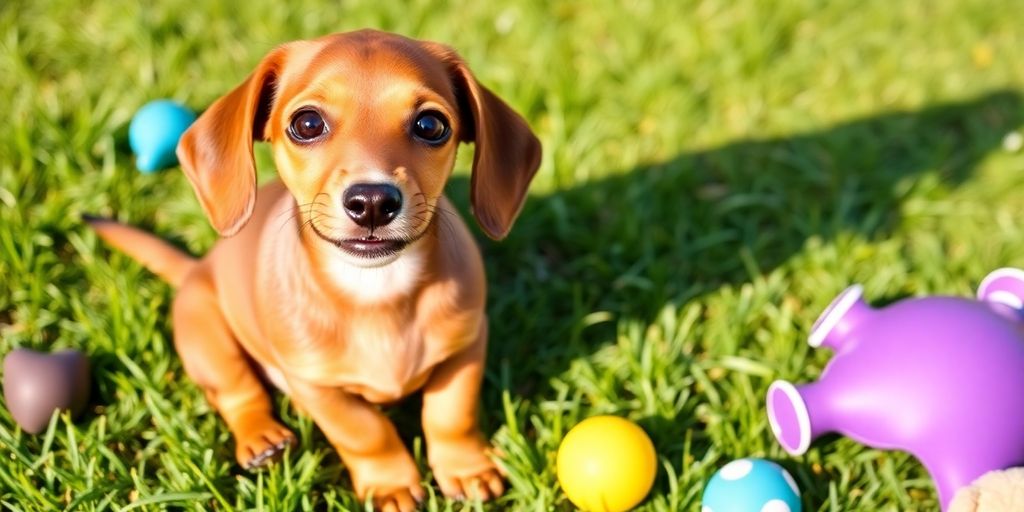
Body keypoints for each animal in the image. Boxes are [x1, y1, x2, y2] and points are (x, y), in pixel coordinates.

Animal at [88, 29, 544, 509]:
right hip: (205, 338)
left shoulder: (466, 346)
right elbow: (366, 432)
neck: (375, 286)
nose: (372, 202)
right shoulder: (314, 384)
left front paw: (465, 468)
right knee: (238, 392)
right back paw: (262, 437)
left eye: (430, 125)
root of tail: (198, 266)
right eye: (307, 124)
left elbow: (451, 413)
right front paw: (391, 483)